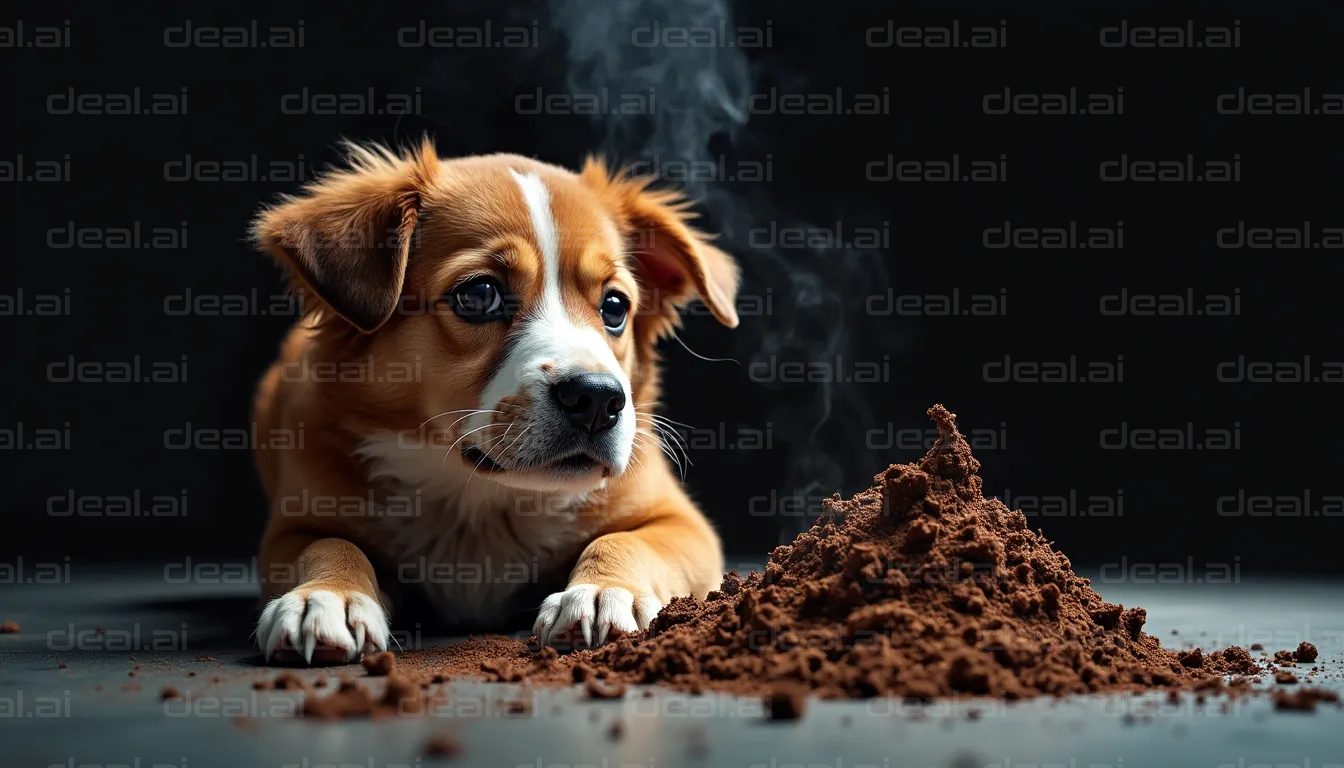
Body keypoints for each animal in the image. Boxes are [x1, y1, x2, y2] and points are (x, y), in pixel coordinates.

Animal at [248, 141, 741, 664]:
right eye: (479, 294)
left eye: (615, 307)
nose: (598, 399)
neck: (479, 500)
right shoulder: (293, 526)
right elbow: (328, 545)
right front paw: (325, 596)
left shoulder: (683, 526)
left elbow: (626, 540)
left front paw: (604, 592)